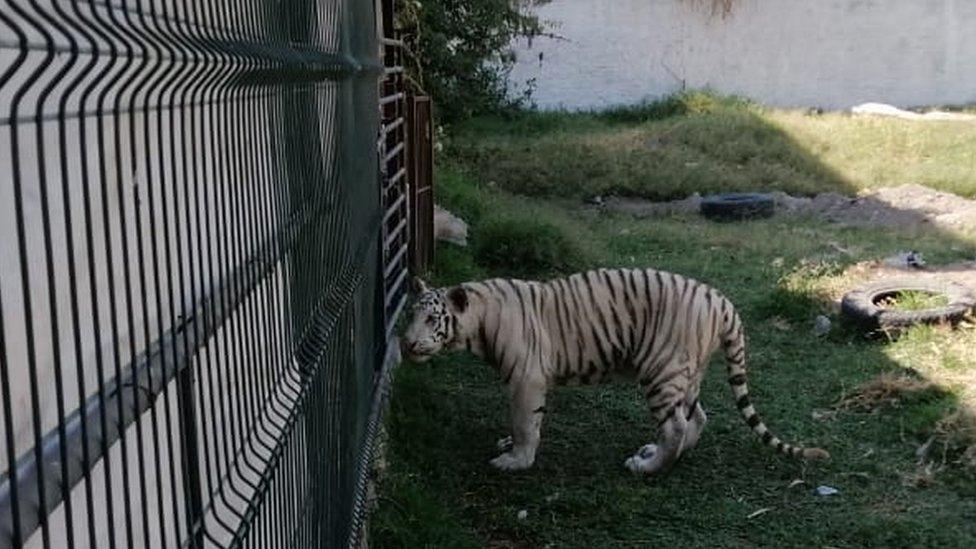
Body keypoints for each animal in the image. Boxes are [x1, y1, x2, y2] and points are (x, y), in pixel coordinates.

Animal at [400, 268, 828, 474]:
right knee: (696, 418)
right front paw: (509, 446)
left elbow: (525, 423)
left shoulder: (525, 378)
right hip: (688, 372)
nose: (406, 343)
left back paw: (648, 468)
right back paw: (665, 454)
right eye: (410, 314)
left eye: (431, 319)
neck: (480, 319)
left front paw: (515, 461)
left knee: (677, 424)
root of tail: (722, 302)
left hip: (661, 370)